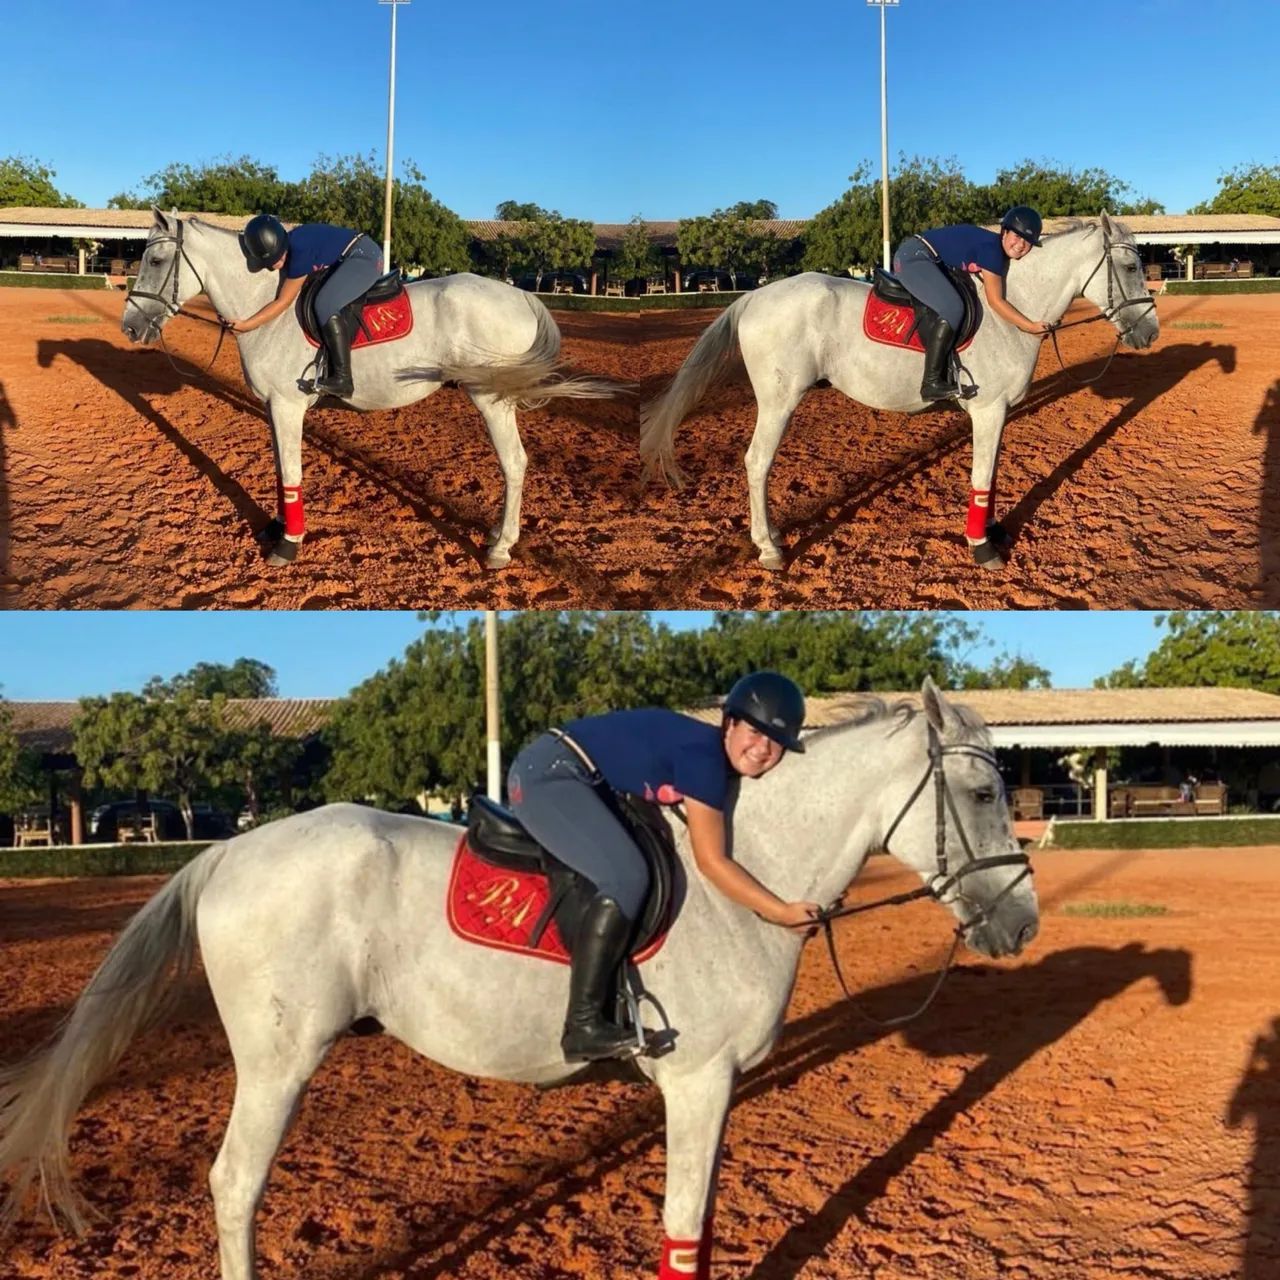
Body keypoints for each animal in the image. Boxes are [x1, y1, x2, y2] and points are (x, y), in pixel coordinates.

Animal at [0, 677, 1039, 1279]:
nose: (1024, 924)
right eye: (984, 791)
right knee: (233, 1186)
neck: (741, 874)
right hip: (277, 1063)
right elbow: (683, 1225)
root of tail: (227, 853)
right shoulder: (698, 1082)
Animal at [121, 209, 616, 568]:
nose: (129, 327)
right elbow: (281, 471)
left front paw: (288, 544)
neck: (266, 306)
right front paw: (276, 529)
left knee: (514, 463)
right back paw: (497, 534)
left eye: (156, 261)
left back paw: (499, 547)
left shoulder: (287, 406)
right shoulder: (274, 409)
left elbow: (292, 474)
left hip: (491, 399)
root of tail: (523, 295)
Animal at [640, 213, 1159, 570]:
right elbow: (981, 477)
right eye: (1131, 264)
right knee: (757, 463)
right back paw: (769, 547)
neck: (1011, 307)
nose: (1151, 333)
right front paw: (981, 547)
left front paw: (992, 530)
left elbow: (990, 477)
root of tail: (753, 296)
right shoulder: (988, 410)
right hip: (778, 402)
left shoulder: (1000, 413)